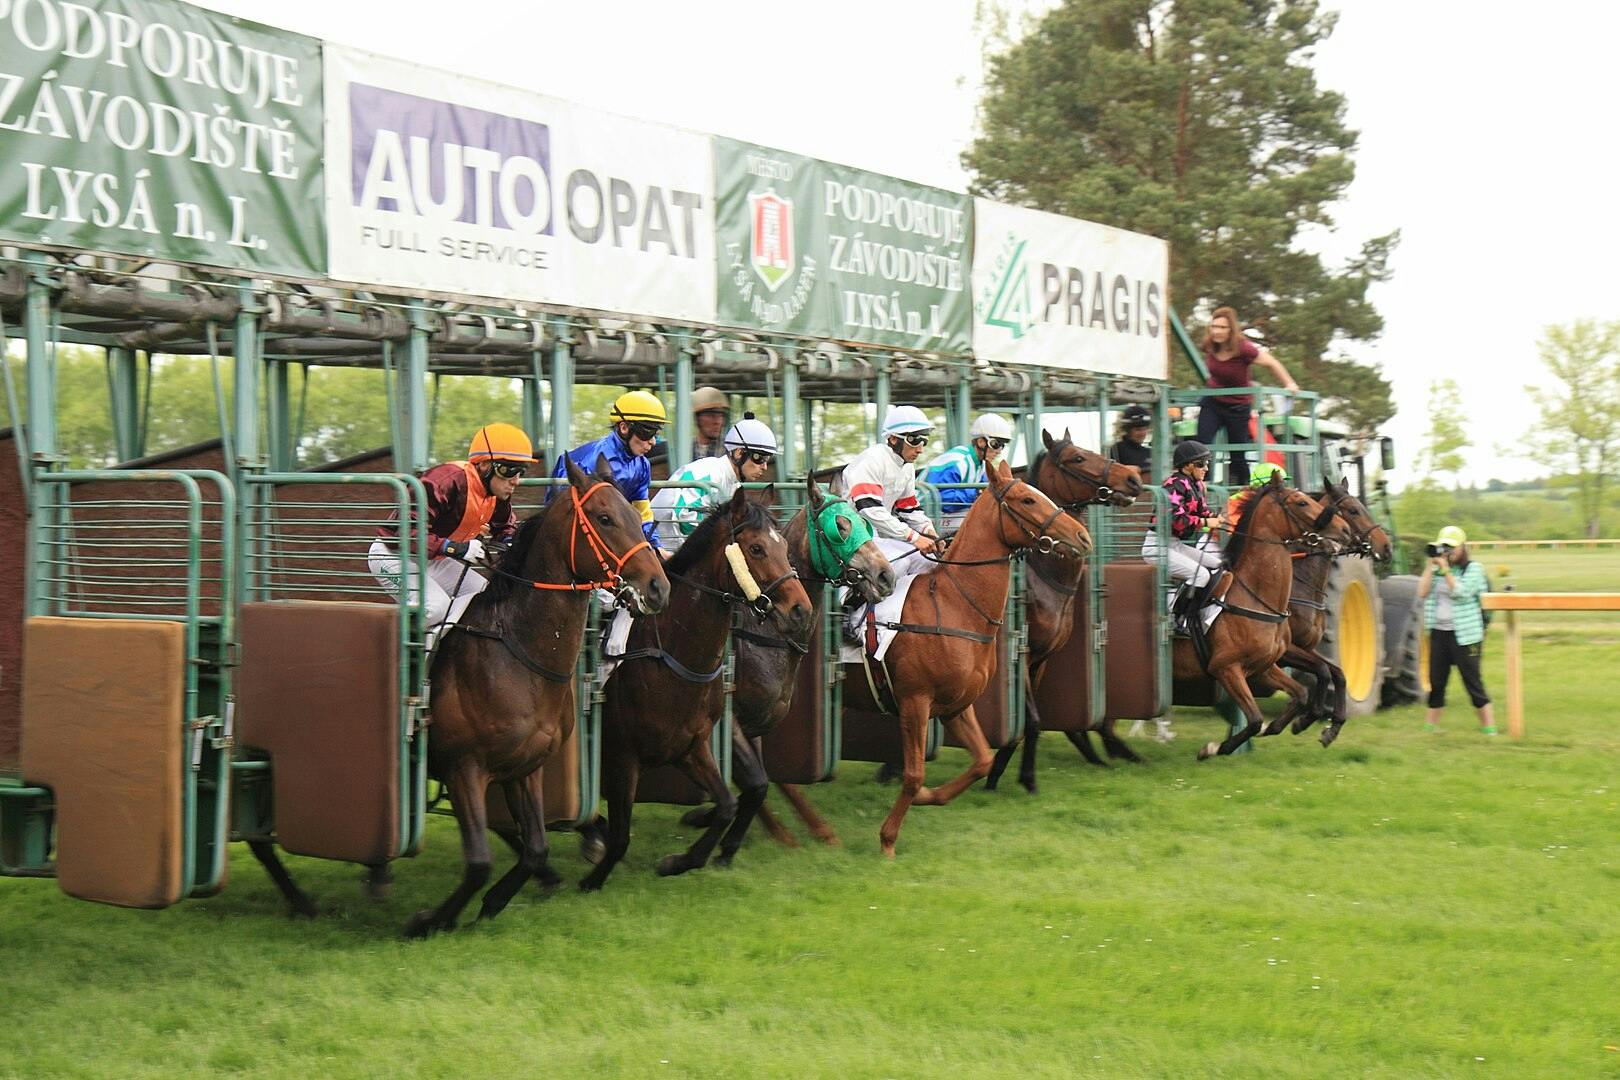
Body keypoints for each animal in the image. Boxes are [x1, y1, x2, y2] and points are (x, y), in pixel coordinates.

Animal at [579, 485, 816, 893]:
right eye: (756, 549)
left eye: (784, 546)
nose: (801, 610)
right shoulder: (624, 753)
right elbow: (623, 835)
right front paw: (592, 881)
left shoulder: (691, 744)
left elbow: (735, 799)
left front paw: (683, 859)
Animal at [842, 459, 1095, 854]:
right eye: (1027, 499)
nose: (1082, 537)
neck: (954, 605)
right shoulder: (915, 702)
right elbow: (914, 774)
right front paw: (888, 839)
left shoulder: (956, 706)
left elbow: (982, 761)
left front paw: (930, 797)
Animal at [978, 430, 1146, 793]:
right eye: (1078, 458)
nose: (1134, 479)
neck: (1044, 575)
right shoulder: (1023, 654)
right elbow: (1029, 720)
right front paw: (1023, 778)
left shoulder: (1041, 659)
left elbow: (1026, 721)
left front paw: (1001, 773)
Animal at [1185, 476, 1347, 764]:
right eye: (1302, 502)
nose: (1344, 530)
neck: (1255, 597)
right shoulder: (1225, 667)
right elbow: (1254, 719)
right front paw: (1215, 747)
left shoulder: (1264, 665)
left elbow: (1312, 685)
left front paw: (1304, 724)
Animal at [1257, 476, 1399, 748]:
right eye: (1353, 510)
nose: (1386, 546)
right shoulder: (1285, 651)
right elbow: (1324, 673)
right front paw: (1304, 719)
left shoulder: (1307, 648)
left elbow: (1337, 674)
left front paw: (1329, 726)